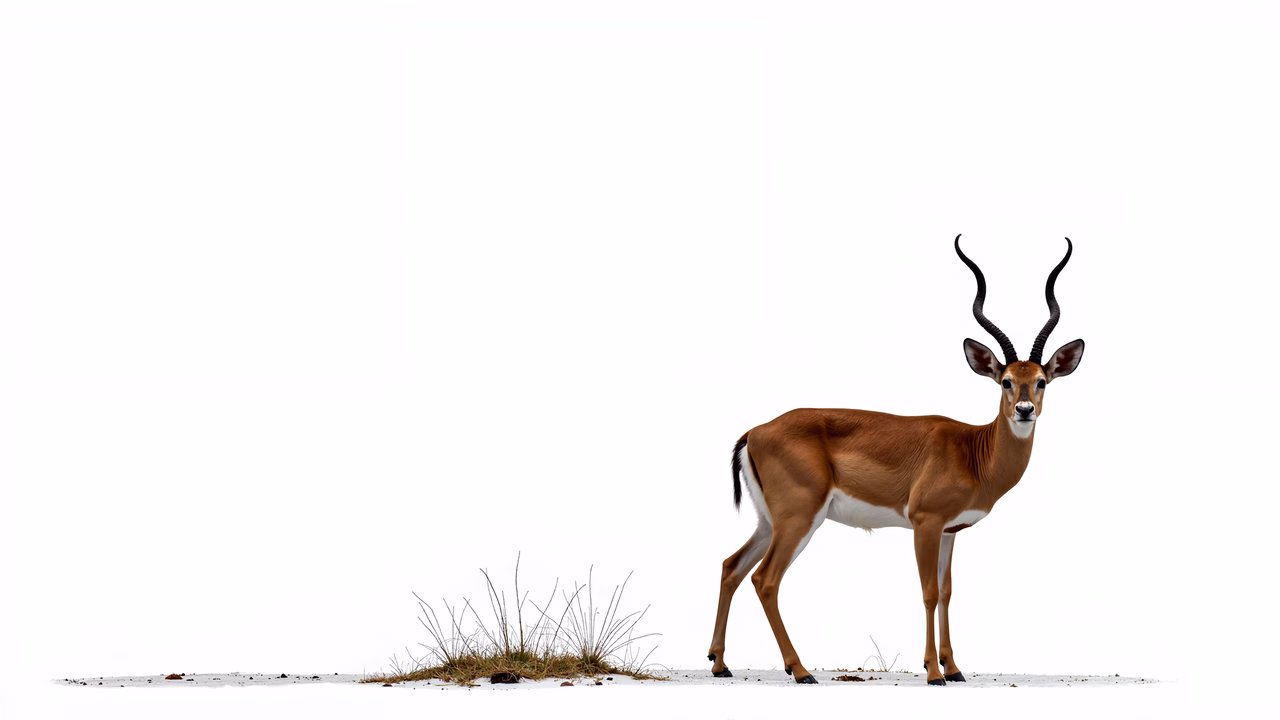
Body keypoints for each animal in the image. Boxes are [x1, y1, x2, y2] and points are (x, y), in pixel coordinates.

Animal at [707, 236, 1085, 685]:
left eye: (1041, 381)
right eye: (1006, 381)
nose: (1024, 410)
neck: (972, 450)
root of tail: (755, 431)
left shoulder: (950, 531)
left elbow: (947, 592)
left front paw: (954, 668)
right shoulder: (925, 523)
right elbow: (928, 592)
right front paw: (934, 673)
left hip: (770, 521)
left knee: (731, 566)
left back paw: (720, 664)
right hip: (799, 518)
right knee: (765, 580)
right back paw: (800, 670)